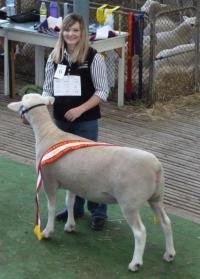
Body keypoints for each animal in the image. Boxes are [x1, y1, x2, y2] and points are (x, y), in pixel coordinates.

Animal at [7, 93, 177, 272]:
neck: (48, 134)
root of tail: (156, 167)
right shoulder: (72, 182)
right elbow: (70, 203)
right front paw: (70, 226)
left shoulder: (48, 180)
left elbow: (51, 207)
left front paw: (47, 232)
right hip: (156, 197)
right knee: (166, 223)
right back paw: (169, 254)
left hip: (130, 201)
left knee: (140, 232)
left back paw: (135, 263)